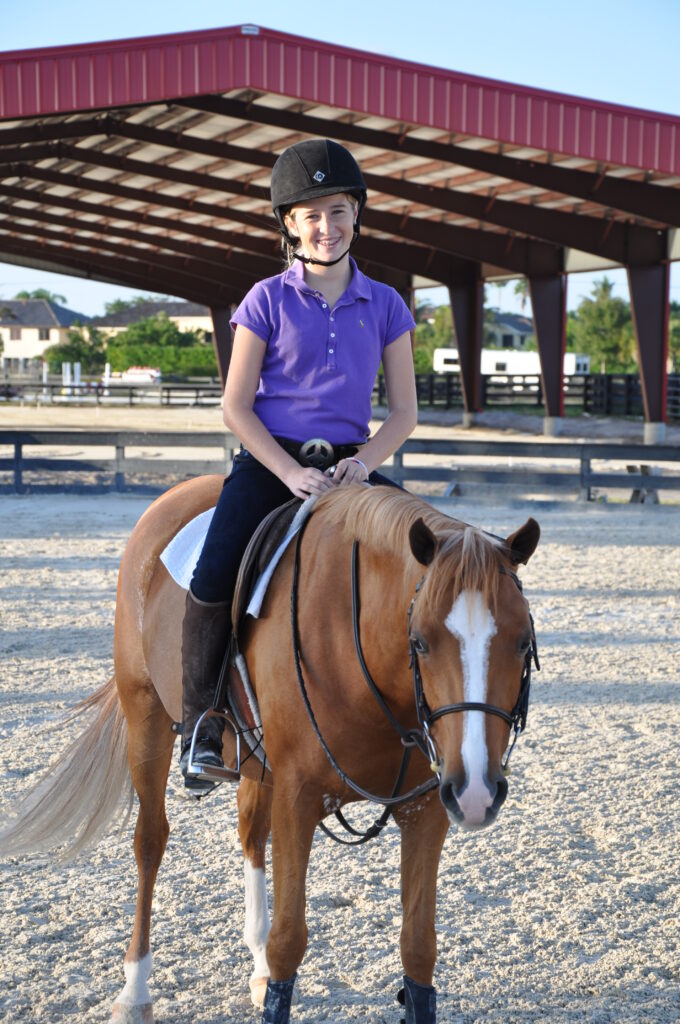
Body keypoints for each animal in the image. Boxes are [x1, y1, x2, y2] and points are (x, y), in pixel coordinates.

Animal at [1, 479, 540, 1024]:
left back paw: (252, 964)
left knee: (250, 836)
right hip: (145, 716)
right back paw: (135, 991)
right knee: (150, 843)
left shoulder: (425, 806)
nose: (477, 791)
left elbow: (418, 947)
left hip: (259, 766)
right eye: (422, 642)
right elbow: (289, 941)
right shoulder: (299, 798)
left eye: (522, 643)